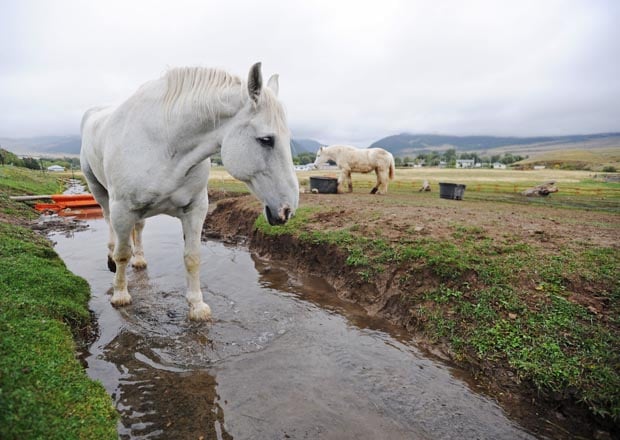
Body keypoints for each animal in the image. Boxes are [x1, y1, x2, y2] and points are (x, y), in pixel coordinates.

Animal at [81, 62, 300, 320]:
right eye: (266, 140)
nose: (287, 210)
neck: (165, 145)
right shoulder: (123, 210)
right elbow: (123, 252)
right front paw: (120, 295)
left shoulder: (195, 208)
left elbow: (192, 257)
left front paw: (197, 306)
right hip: (100, 192)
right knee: (109, 224)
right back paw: (111, 259)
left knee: (140, 227)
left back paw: (140, 259)